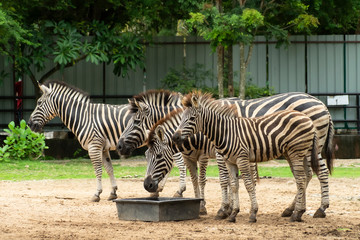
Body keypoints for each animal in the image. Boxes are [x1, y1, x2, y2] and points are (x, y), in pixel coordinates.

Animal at [174, 91, 320, 222]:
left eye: (192, 119)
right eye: (181, 118)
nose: (175, 137)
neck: (225, 132)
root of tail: (308, 119)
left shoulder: (242, 158)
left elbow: (248, 184)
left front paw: (253, 213)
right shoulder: (230, 161)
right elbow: (234, 185)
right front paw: (233, 214)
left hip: (296, 152)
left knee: (301, 179)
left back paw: (297, 214)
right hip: (298, 153)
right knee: (304, 177)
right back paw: (299, 212)